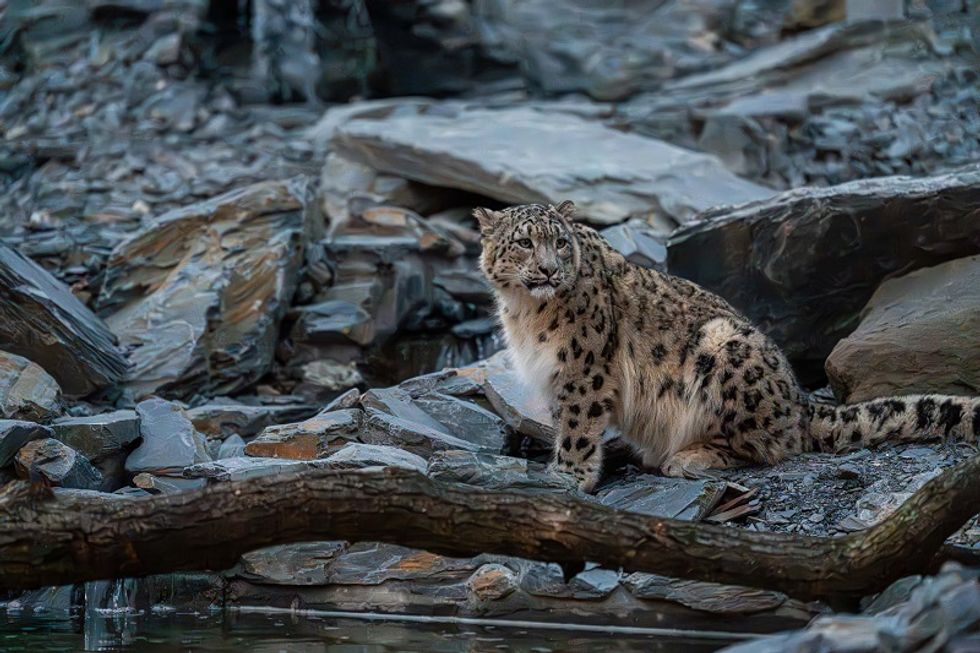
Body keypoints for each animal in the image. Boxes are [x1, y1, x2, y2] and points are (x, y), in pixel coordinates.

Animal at [475, 200, 980, 492]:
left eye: (560, 242)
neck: (527, 312)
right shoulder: (556, 375)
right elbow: (563, 420)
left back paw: (686, 457)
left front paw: (568, 477)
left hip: (724, 349)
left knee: (770, 447)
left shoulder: (585, 368)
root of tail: (800, 401)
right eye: (524, 243)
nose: (548, 270)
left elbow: (579, 424)